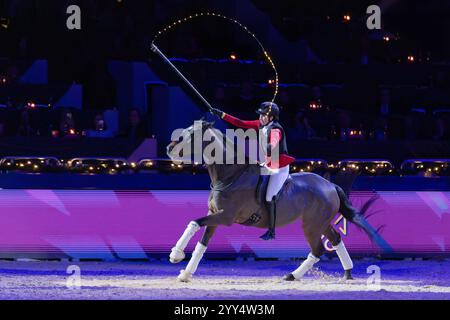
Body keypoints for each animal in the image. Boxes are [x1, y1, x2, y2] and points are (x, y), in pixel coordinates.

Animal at [167, 120, 392, 282]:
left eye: (192, 134)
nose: (169, 148)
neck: (231, 175)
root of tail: (330, 186)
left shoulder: (226, 217)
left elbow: (194, 222)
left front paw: (176, 254)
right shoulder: (214, 215)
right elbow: (202, 243)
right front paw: (185, 274)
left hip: (311, 225)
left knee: (318, 249)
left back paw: (294, 275)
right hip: (321, 222)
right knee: (335, 239)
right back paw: (346, 273)